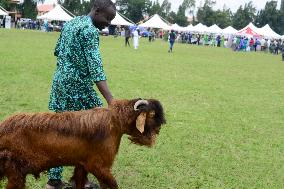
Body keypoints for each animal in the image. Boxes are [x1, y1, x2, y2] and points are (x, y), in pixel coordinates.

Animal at [0, 99, 166, 189]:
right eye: (152, 115)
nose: (159, 129)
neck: (114, 123)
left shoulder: (82, 164)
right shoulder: (98, 166)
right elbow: (112, 184)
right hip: (15, 171)